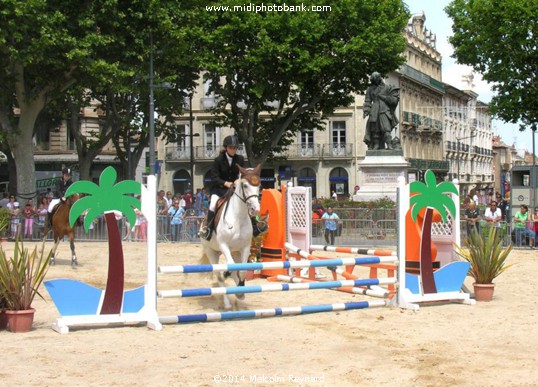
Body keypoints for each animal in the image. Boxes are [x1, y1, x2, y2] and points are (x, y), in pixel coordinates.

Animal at [200, 165, 260, 310]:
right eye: (245, 185)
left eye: (259, 185)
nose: (255, 209)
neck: (238, 217)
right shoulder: (224, 245)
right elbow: (230, 267)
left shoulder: (245, 247)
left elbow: (242, 270)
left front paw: (240, 293)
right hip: (212, 252)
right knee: (219, 276)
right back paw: (227, 304)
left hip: (235, 252)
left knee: (234, 270)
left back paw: (239, 295)